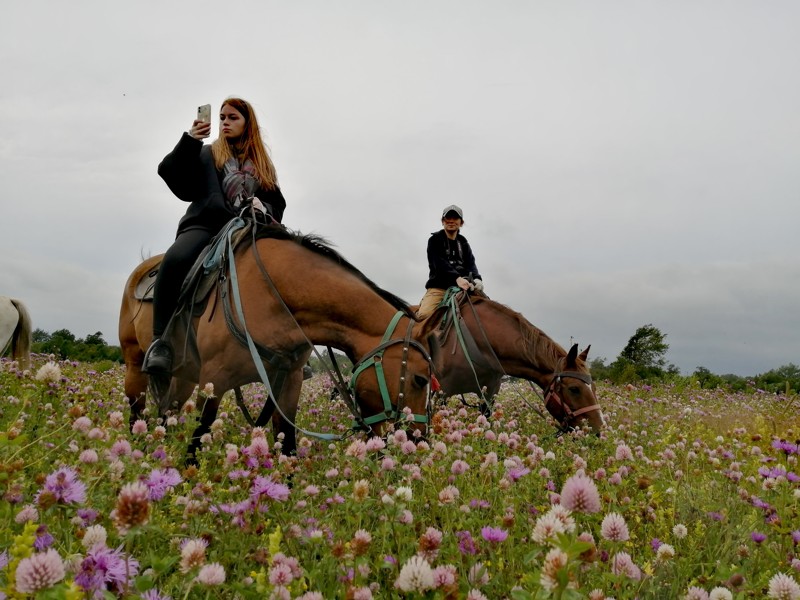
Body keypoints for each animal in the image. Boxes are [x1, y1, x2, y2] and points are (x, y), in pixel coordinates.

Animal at [120, 227, 444, 458]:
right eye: (419, 379)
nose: (418, 443)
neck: (274, 295)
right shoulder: (214, 379)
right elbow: (197, 442)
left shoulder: (289, 380)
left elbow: (287, 445)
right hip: (137, 365)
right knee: (138, 413)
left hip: (185, 375)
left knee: (167, 413)